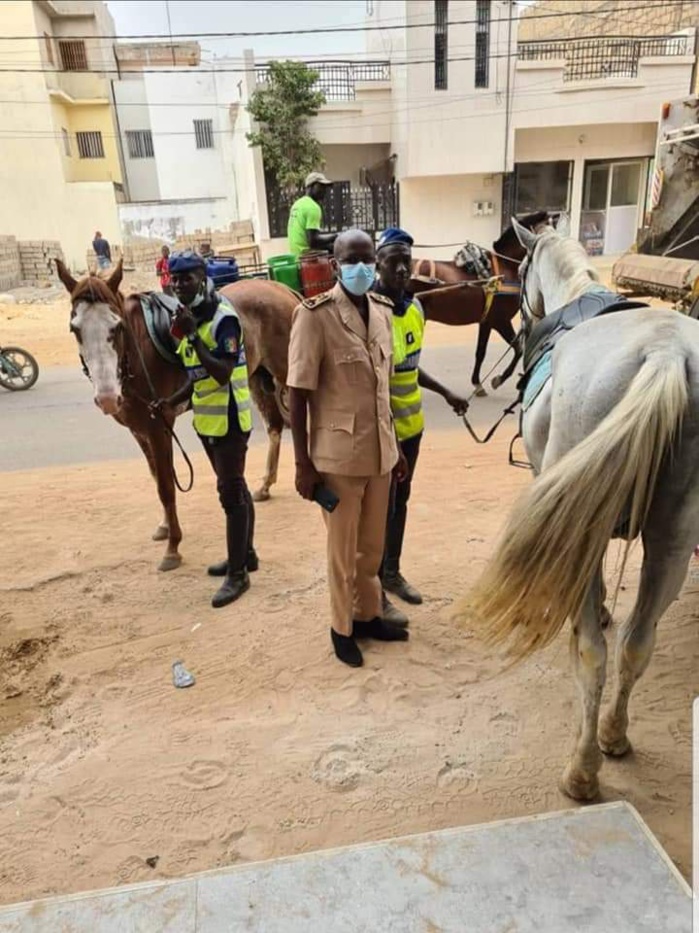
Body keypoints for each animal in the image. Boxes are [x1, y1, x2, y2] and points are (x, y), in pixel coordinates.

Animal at [56, 258, 294, 572]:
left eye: (116, 326)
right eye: (75, 329)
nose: (107, 397)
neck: (135, 354)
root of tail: (280, 289)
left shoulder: (159, 425)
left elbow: (167, 487)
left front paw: (173, 548)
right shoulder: (139, 429)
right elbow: (158, 477)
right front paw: (165, 527)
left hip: (287, 371)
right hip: (256, 376)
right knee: (275, 427)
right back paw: (266, 484)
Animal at [410, 210, 552, 394]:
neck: (505, 268)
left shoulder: (487, 321)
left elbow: (481, 352)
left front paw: (477, 383)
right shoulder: (500, 320)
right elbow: (519, 349)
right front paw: (499, 379)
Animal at [456, 215, 699, 796]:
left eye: (519, 268)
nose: (520, 318)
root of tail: (666, 354)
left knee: (595, 651)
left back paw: (582, 768)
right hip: (676, 537)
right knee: (638, 643)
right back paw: (614, 734)